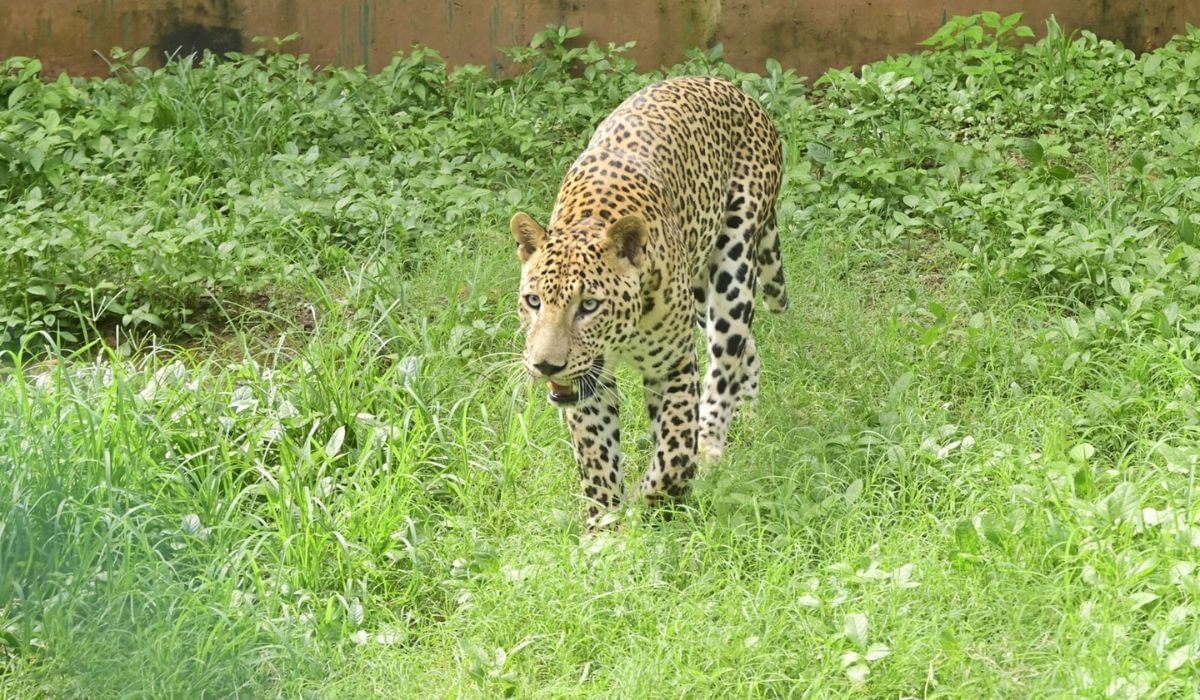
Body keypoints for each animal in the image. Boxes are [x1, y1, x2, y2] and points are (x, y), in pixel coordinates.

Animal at [508, 73, 782, 528]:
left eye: (589, 306)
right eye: (533, 301)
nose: (546, 365)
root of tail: (728, 85)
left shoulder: (672, 364)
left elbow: (674, 448)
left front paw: (652, 497)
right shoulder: (589, 384)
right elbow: (597, 457)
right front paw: (604, 528)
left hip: (732, 268)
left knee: (724, 363)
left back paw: (712, 444)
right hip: (699, 287)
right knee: (748, 347)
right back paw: (750, 413)